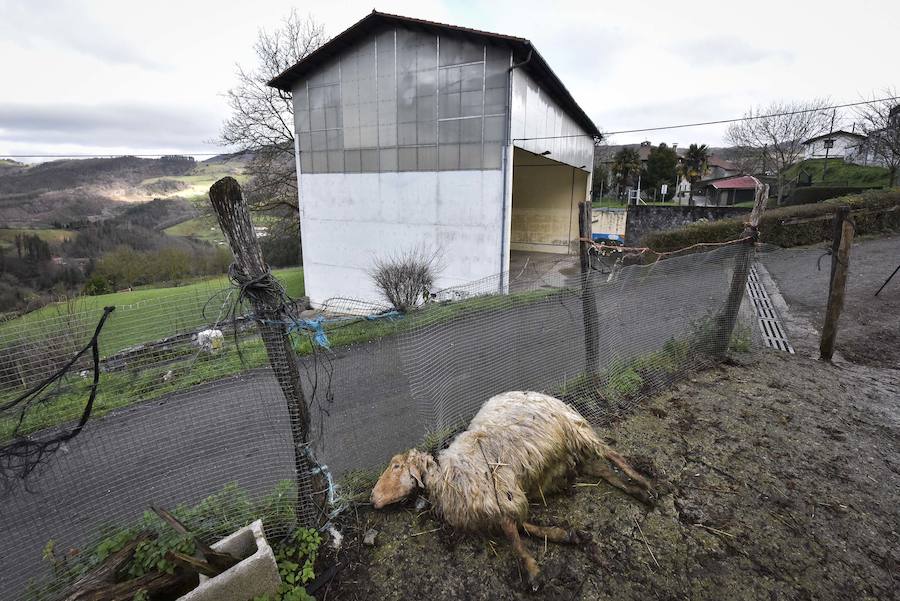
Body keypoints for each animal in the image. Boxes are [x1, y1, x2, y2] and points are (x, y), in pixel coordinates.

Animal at [372, 390, 652, 584]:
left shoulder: (500, 491)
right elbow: (521, 525)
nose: (373, 498)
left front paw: (532, 571)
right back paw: (636, 491)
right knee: (604, 470)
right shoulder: (493, 505)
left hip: (576, 430)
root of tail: (537, 393)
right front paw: (563, 535)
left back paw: (645, 484)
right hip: (568, 462)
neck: (444, 476)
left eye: (396, 466)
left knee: (611, 454)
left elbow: (513, 532)